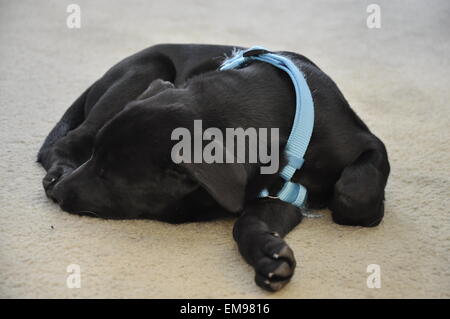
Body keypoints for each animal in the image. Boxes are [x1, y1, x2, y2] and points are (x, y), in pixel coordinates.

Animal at [37, 43, 390, 294]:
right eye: (98, 163)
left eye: (108, 177)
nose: (57, 193)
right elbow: (245, 221)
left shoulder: (368, 144)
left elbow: (352, 193)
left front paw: (271, 254)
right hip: (143, 70)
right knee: (69, 140)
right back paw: (59, 169)